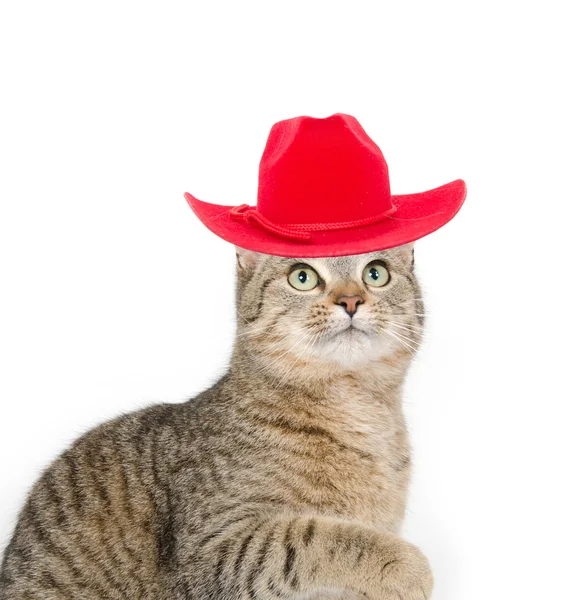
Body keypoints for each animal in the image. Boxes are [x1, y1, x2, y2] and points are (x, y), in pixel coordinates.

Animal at [0, 245, 434, 600]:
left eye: (375, 273)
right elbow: (311, 536)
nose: (350, 299)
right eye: (302, 276)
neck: (355, 408)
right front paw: (404, 565)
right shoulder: (211, 549)